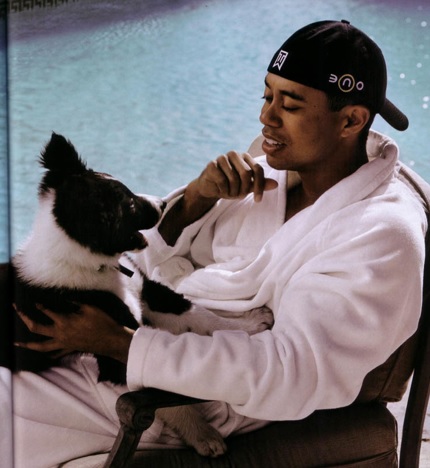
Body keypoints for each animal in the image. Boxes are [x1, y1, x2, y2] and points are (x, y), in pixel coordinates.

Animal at [13, 134, 272, 458]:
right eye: (129, 203)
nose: (163, 203)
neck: (88, 260)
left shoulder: (146, 290)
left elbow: (198, 313)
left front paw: (248, 324)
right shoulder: (111, 349)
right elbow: (161, 390)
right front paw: (203, 435)